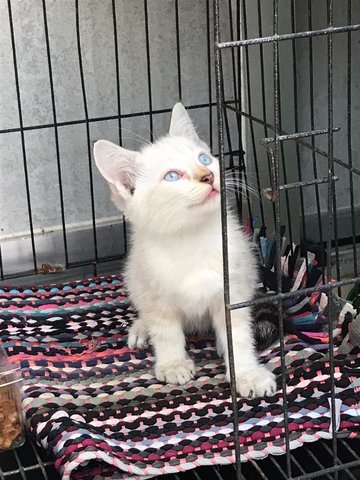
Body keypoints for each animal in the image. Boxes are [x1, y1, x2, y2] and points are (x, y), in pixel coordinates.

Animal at [93, 104, 276, 398]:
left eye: (204, 158)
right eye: (172, 176)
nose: (208, 176)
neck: (191, 238)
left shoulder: (232, 289)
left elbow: (238, 334)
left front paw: (247, 374)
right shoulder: (155, 291)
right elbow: (166, 332)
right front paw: (173, 364)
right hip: (134, 277)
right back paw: (142, 328)